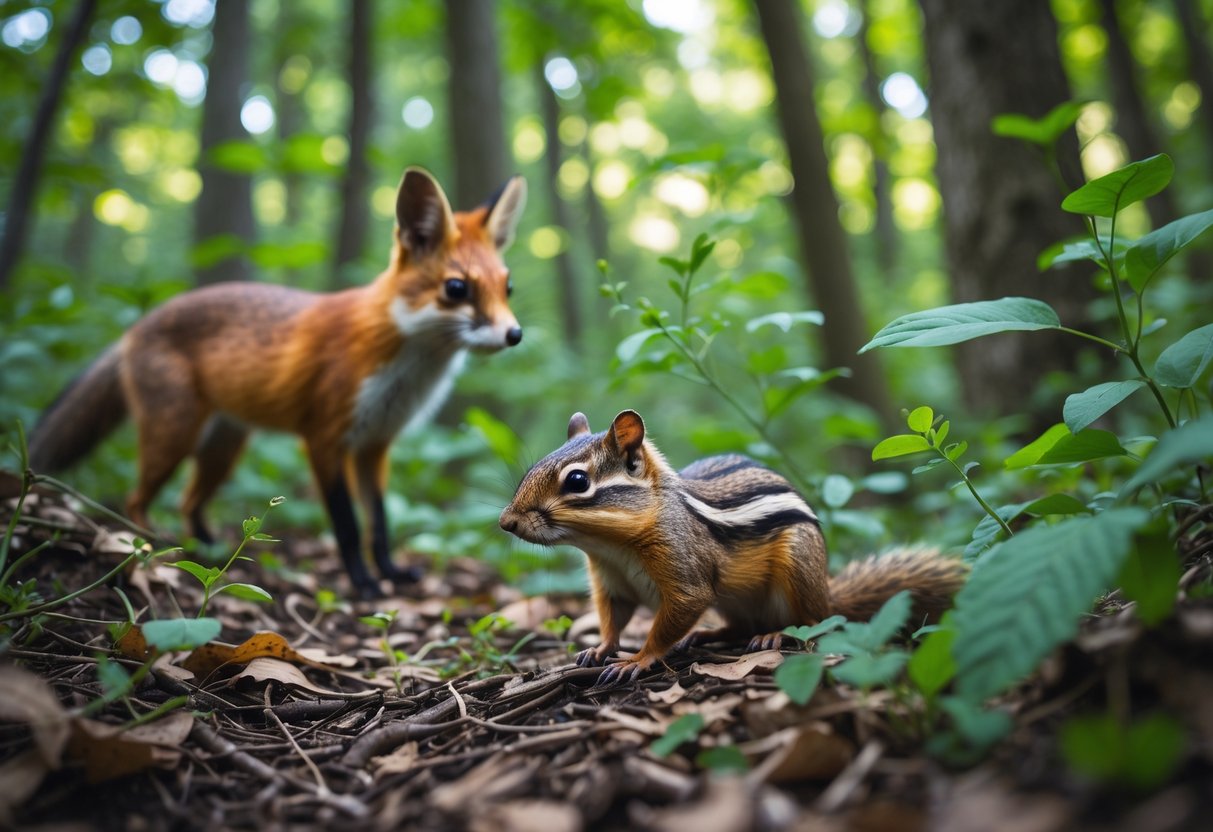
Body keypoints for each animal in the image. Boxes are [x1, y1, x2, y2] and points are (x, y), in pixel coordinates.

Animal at [28, 167, 527, 599]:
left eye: (508, 288)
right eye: (457, 289)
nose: (514, 335)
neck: (402, 366)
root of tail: (134, 326)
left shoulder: (374, 444)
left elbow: (380, 524)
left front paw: (390, 573)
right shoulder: (324, 438)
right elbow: (348, 527)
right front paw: (363, 585)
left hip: (224, 448)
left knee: (190, 503)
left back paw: (209, 551)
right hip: (173, 437)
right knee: (137, 500)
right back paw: (151, 543)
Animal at [499, 409, 968, 685]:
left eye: (577, 481)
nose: (506, 522)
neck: (610, 545)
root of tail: (828, 592)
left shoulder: (684, 571)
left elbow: (674, 615)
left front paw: (638, 659)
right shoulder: (611, 583)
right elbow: (614, 619)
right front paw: (600, 648)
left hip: (798, 569)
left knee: (814, 623)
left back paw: (776, 634)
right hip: (733, 601)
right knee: (740, 625)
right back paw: (707, 634)